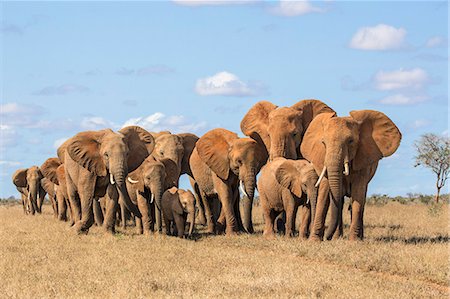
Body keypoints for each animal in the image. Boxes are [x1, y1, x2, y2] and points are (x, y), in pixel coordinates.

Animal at [302, 110, 400, 241]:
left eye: (350, 141)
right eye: (323, 143)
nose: (327, 238)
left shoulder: (363, 160)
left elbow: (358, 194)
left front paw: (353, 241)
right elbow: (324, 193)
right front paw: (314, 240)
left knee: (361, 200)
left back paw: (358, 237)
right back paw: (337, 237)